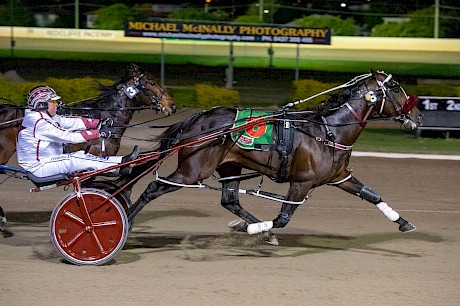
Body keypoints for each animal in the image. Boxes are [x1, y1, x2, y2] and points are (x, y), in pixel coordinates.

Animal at [126, 70, 424, 245]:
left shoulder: (340, 176)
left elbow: (372, 194)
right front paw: (256, 230)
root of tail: (195, 120)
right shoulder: (301, 183)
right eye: (395, 87)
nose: (419, 116)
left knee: (230, 200)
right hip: (193, 170)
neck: (328, 131)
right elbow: (283, 218)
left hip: (229, 167)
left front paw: (404, 222)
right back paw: (126, 220)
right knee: (153, 187)